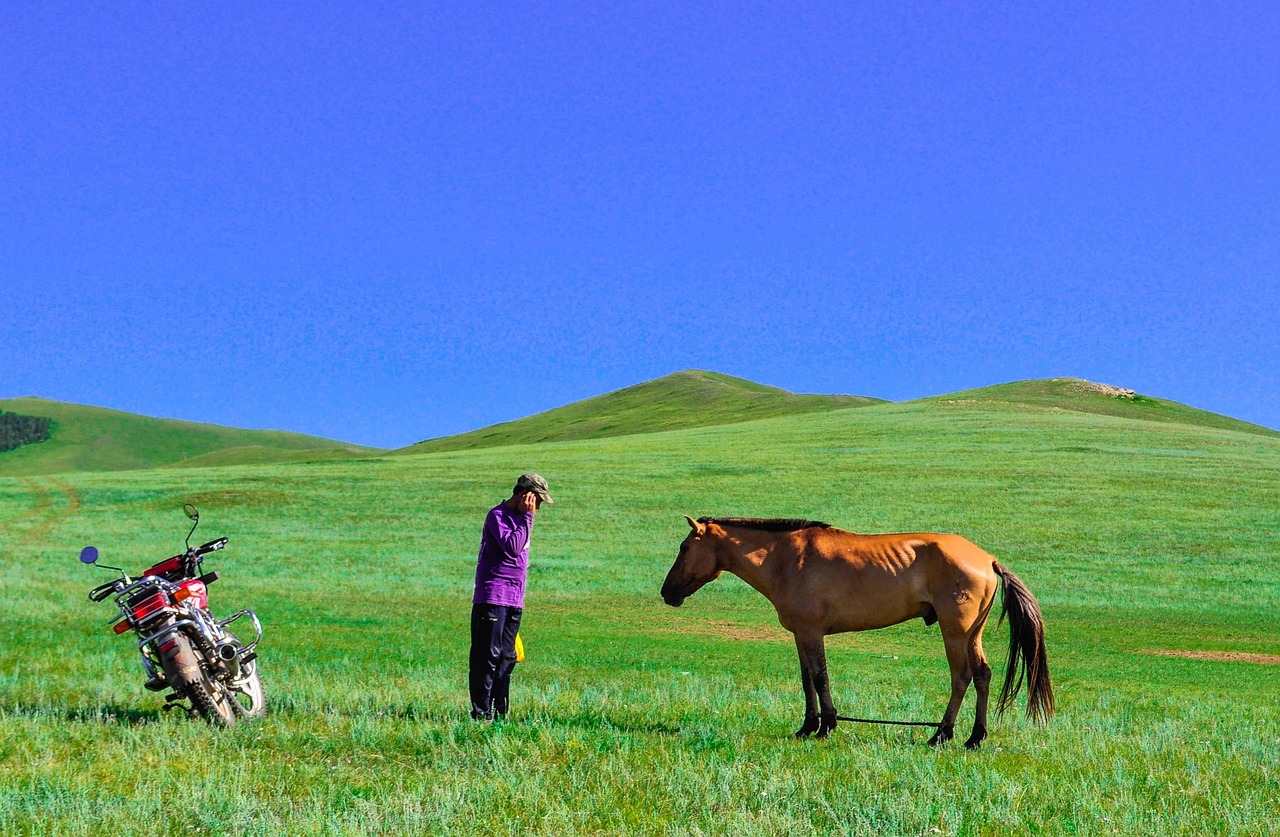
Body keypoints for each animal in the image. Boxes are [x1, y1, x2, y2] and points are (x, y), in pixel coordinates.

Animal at [660, 517, 1049, 747]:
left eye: (684, 547)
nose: (667, 592)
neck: (785, 558)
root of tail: (987, 559)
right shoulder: (800, 634)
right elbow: (806, 680)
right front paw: (807, 726)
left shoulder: (812, 632)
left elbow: (820, 678)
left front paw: (826, 726)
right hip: (972, 634)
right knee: (983, 675)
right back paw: (975, 737)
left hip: (955, 632)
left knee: (962, 677)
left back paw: (942, 734)